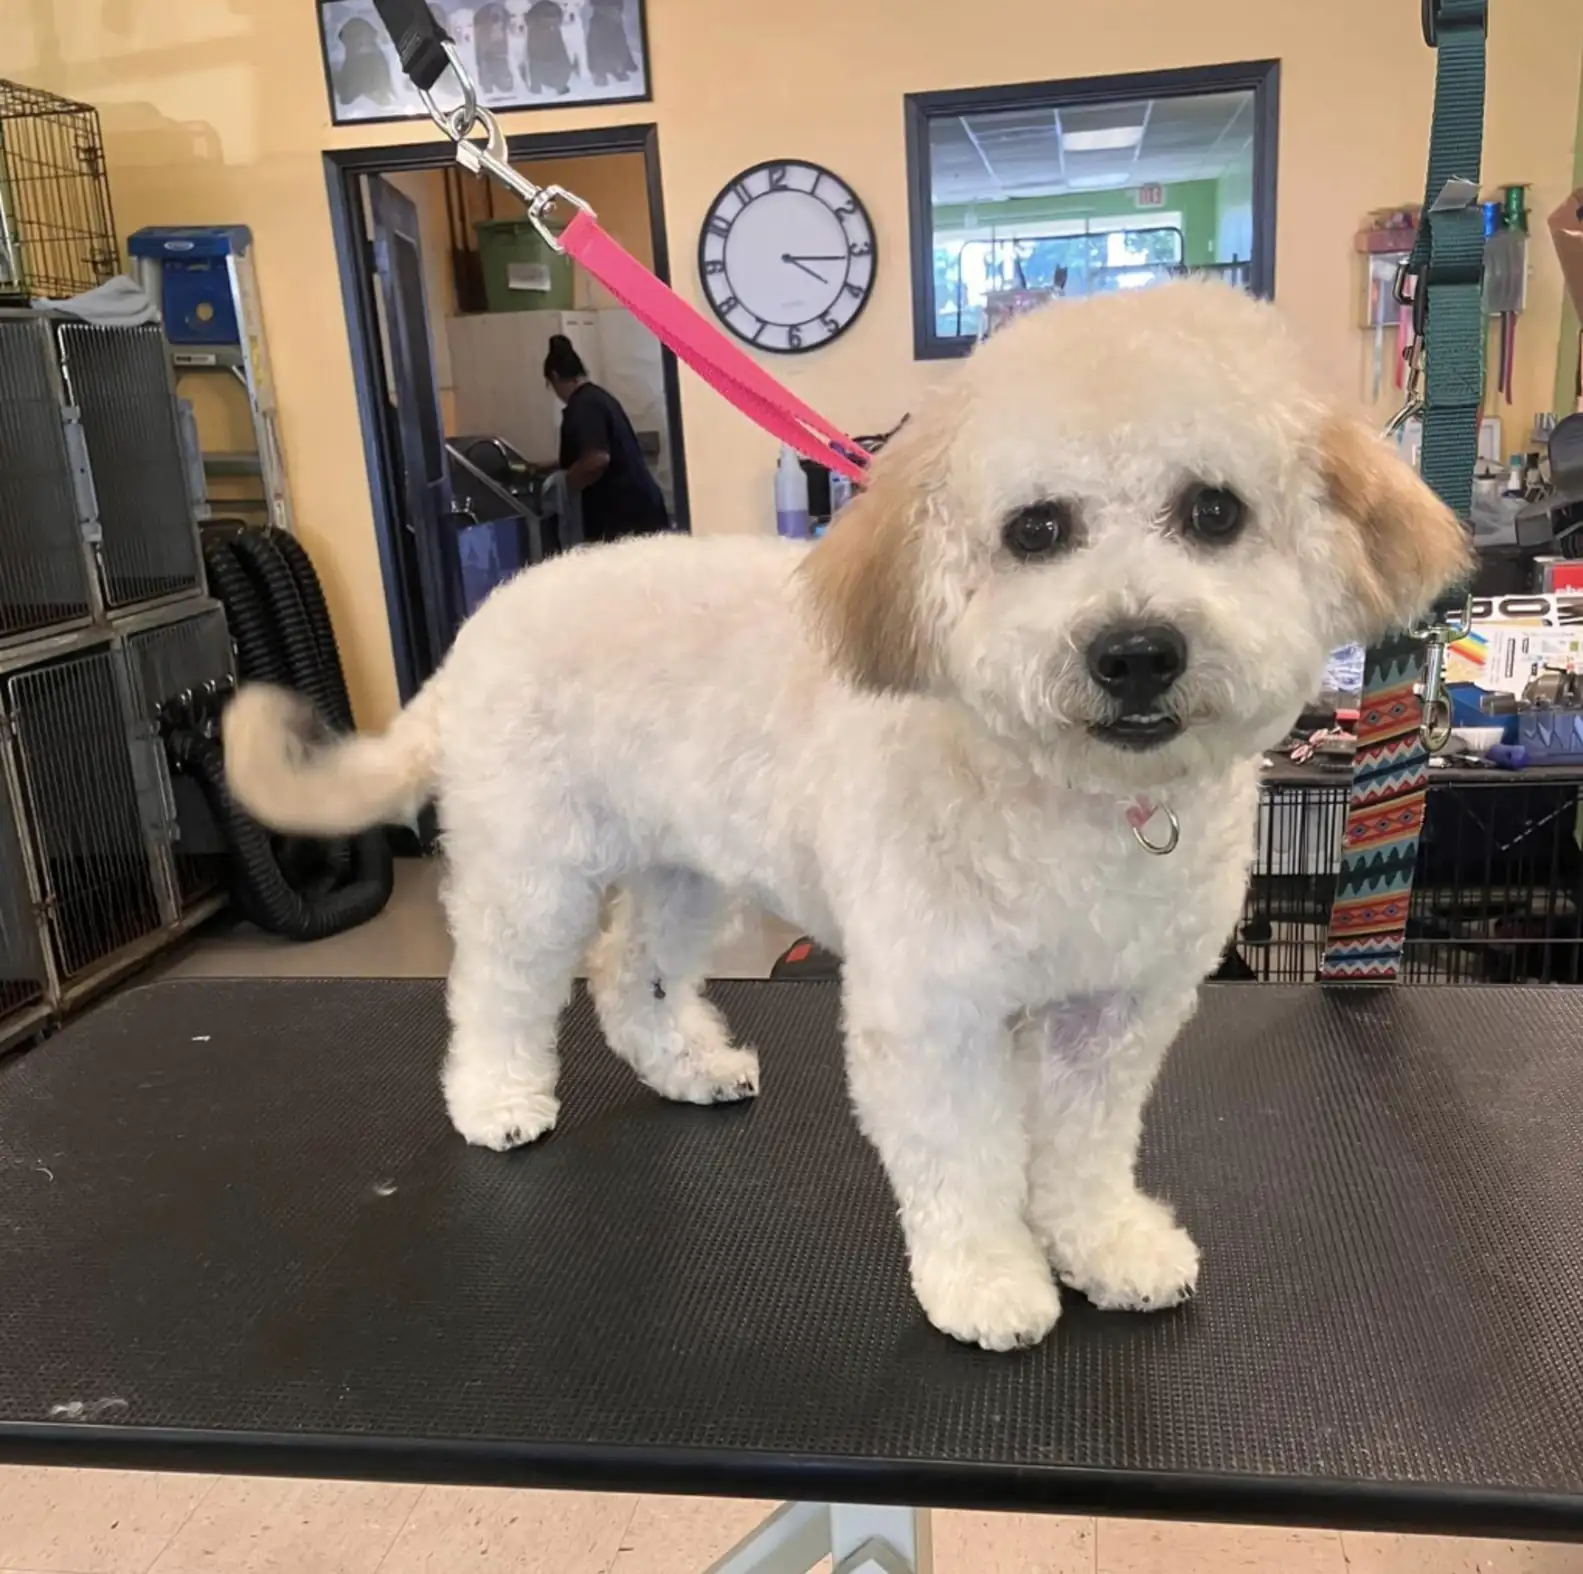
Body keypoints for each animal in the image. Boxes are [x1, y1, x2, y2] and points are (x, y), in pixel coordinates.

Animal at [226, 281, 1469, 1349]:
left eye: (1212, 510)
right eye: (1035, 528)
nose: (1131, 650)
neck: (1068, 798)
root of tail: (486, 622)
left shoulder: (1113, 1011)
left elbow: (1084, 1147)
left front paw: (1103, 1245)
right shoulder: (930, 1010)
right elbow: (962, 1156)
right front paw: (986, 1280)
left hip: (687, 865)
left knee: (630, 968)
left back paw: (685, 1063)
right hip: (533, 860)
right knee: (499, 980)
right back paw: (495, 1095)